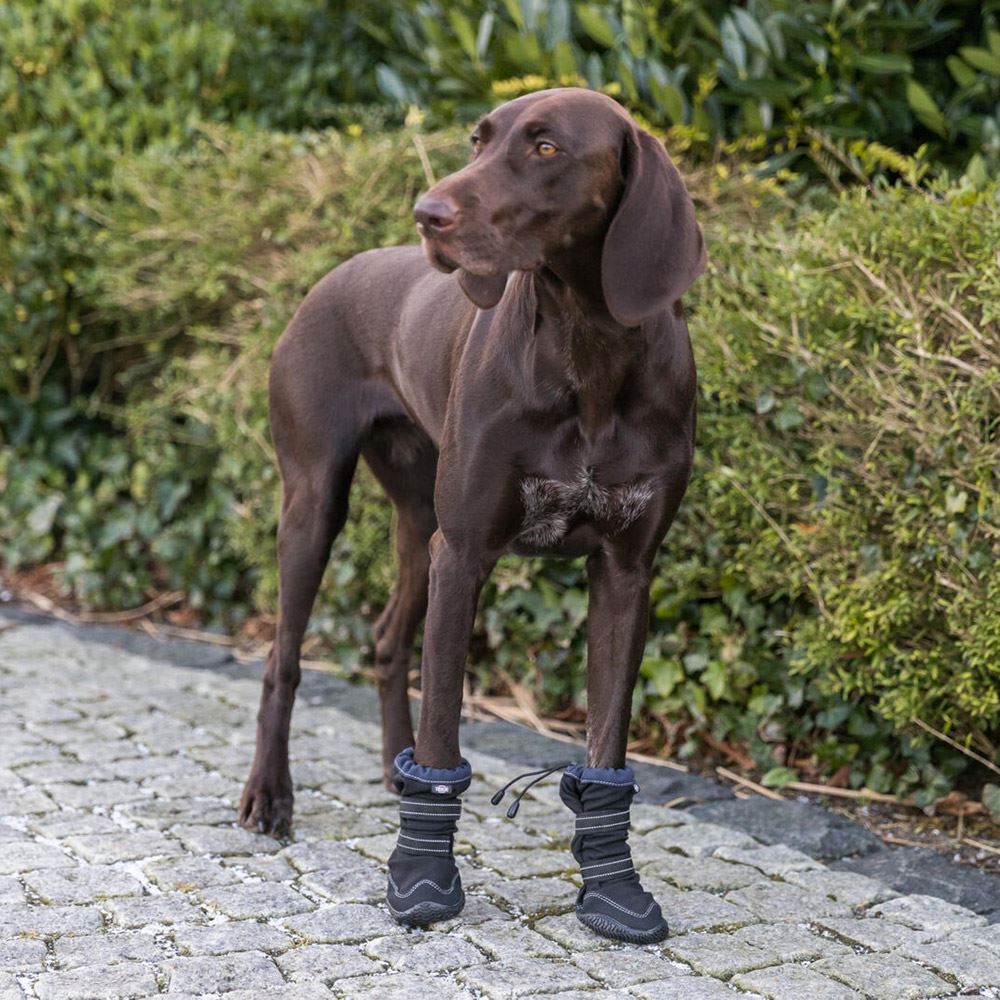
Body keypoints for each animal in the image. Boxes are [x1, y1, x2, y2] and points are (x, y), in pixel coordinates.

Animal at [238, 84, 704, 836]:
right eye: (477, 141)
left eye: (546, 146)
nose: (428, 213)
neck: (589, 353)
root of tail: (330, 275)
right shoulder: (464, 556)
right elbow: (442, 731)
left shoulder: (625, 572)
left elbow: (606, 744)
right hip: (316, 507)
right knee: (283, 656)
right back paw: (269, 793)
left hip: (420, 524)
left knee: (388, 639)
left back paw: (391, 765)